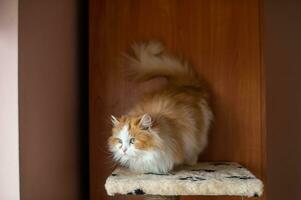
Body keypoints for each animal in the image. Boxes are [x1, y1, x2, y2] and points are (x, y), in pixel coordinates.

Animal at [106, 41, 212, 173]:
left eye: (133, 140)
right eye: (119, 141)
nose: (124, 150)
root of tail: (185, 85)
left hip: (199, 134)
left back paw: (191, 162)